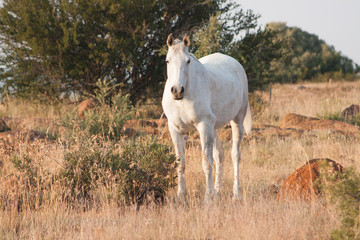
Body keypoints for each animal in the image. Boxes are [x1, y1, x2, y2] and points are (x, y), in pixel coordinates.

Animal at [162, 34, 252, 202]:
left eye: (188, 61)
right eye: (167, 60)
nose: (177, 91)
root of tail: (235, 63)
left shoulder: (203, 125)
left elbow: (206, 163)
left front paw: (208, 198)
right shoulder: (175, 129)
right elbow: (180, 163)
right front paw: (180, 196)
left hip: (237, 120)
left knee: (235, 155)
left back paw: (236, 193)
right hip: (214, 127)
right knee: (219, 155)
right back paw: (217, 190)